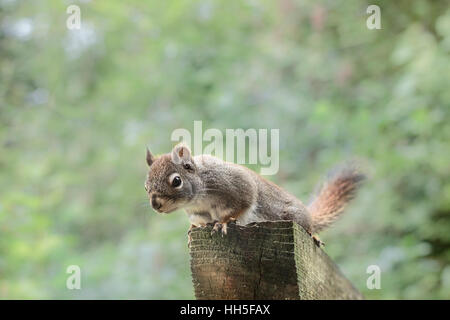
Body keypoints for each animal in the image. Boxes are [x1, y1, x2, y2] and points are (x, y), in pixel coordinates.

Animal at [144, 143, 366, 248]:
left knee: (307, 226)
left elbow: (244, 202)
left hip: (293, 216)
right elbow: (200, 221)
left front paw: (223, 221)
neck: (199, 197)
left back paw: (313, 234)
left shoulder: (236, 185)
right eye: (146, 186)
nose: (155, 205)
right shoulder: (198, 212)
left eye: (176, 181)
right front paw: (193, 230)